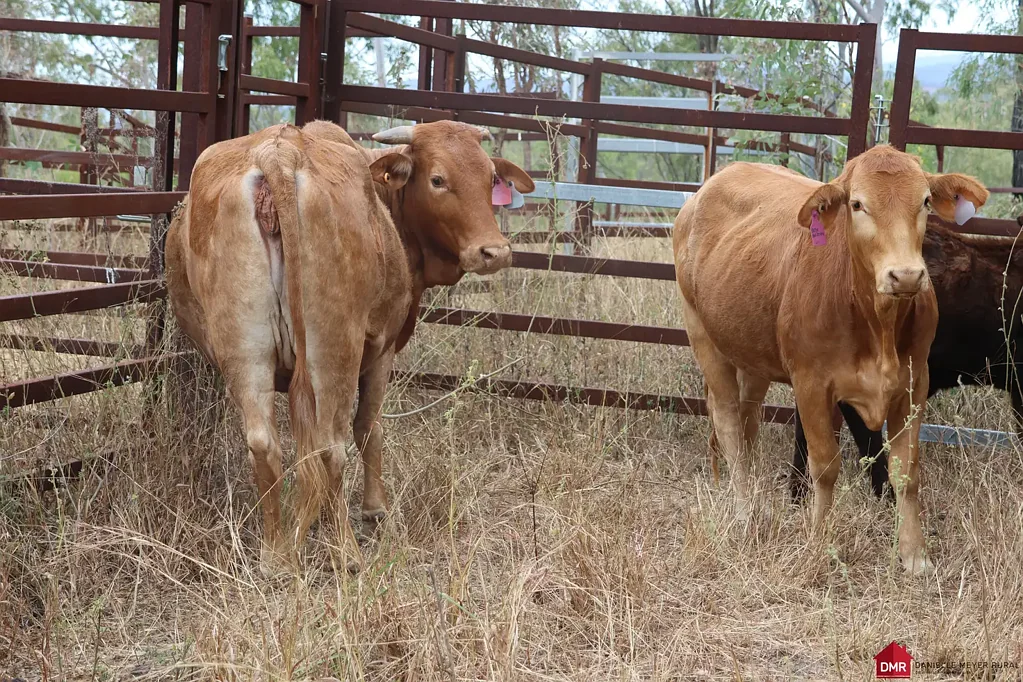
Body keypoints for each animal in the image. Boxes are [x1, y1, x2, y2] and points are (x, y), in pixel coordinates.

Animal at [165, 120, 534, 573]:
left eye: (489, 177)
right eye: (438, 179)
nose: (494, 252)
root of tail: (280, 151)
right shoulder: (382, 350)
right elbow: (369, 427)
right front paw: (374, 509)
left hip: (245, 351)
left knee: (265, 445)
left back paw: (276, 555)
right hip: (335, 350)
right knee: (331, 448)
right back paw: (346, 552)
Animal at [673, 145, 987, 574]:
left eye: (924, 201)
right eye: (857, 204)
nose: (906, 276)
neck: (877, 325)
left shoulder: (914, 382)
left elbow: (906, 471)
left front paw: (914, 555)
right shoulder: (811, 383)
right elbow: (824, 467)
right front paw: (820, 543)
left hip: (752, 353)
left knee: (747, 418)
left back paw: (755, 501)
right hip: (703, 334)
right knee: (728, 420)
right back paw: (744, 512)